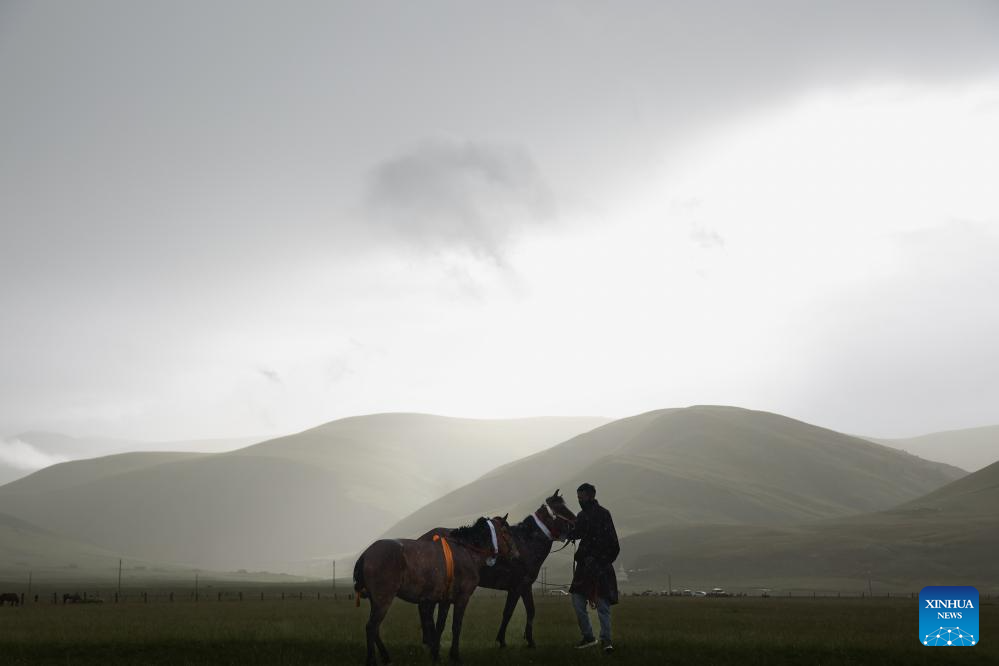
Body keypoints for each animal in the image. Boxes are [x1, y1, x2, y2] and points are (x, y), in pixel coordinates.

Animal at [356, 512, 520, 664]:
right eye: (507, 532)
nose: (516, 555)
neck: (466, 552)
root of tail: (366, 553)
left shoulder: (444, 600)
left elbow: (439, 626)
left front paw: (435, 654)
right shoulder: (462, 599)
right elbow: (456, 626)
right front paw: (454, 655)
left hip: (376, 602)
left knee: (375, 629)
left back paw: (386, 656)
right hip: (383, 600)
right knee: (371, 627)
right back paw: (372, 659)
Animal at [420, 488, 580, 644]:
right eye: (560, 508)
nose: (576, 523)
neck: (525, 544)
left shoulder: (525, 587)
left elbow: (530, 611)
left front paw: (529, 640)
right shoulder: (516, 587)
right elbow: (508, 612)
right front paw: (502, 640)